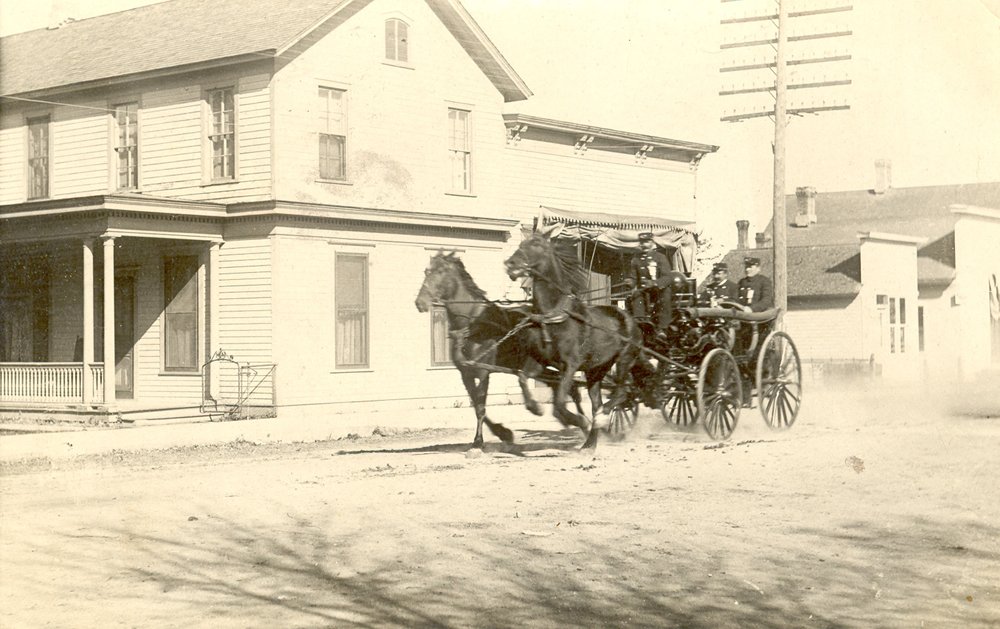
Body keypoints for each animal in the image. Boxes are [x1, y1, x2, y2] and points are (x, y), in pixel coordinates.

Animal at [414, 250, 584, 446]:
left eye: (441, 272)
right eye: (426, 271)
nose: (420, 302)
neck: (474, 324)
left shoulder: (483, 372)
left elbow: (480, 406)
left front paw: (480, 440)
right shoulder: (466, 373)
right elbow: (476, 405)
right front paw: (502, 433)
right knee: (564, 385)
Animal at [504, 228, 644, 448]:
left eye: (536, 244)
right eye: (522, 243)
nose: (511, 264)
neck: (553, 315)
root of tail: (630, 319)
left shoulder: (570, 365)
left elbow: (559, 404)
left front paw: (579, 421)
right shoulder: (539, 361)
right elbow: (523, 378)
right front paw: (535, 407)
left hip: (624, 360)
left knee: (622, 392)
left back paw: (601, 419)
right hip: (596, 370)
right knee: (597, 402)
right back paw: (589, 444)